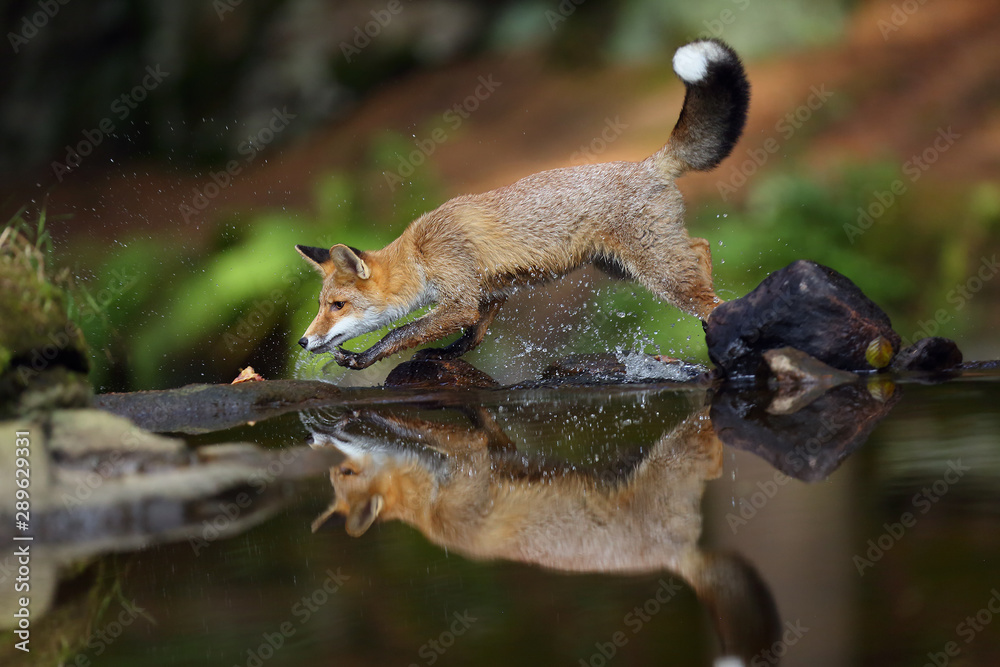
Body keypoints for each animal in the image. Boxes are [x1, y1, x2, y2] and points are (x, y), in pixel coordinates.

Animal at [296, 39, 750, 369]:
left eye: (337, 306)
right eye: (320, 305)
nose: (303, 340)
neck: (421, 252)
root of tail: (648, 163)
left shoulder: (459, 297)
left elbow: (399, 332)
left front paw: (362, 357)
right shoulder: (490, 294)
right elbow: (472, 336)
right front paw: (446, 354)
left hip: (654, 270)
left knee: (702, 280)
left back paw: (721, 325)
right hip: (620, 267)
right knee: (701, 248)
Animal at [305, 404, 779, 661]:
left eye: (345, 472)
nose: (317, 433)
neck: (432, 504)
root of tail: (676, 559)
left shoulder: (473, 462)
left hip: (673, 457)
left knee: (710, 449)